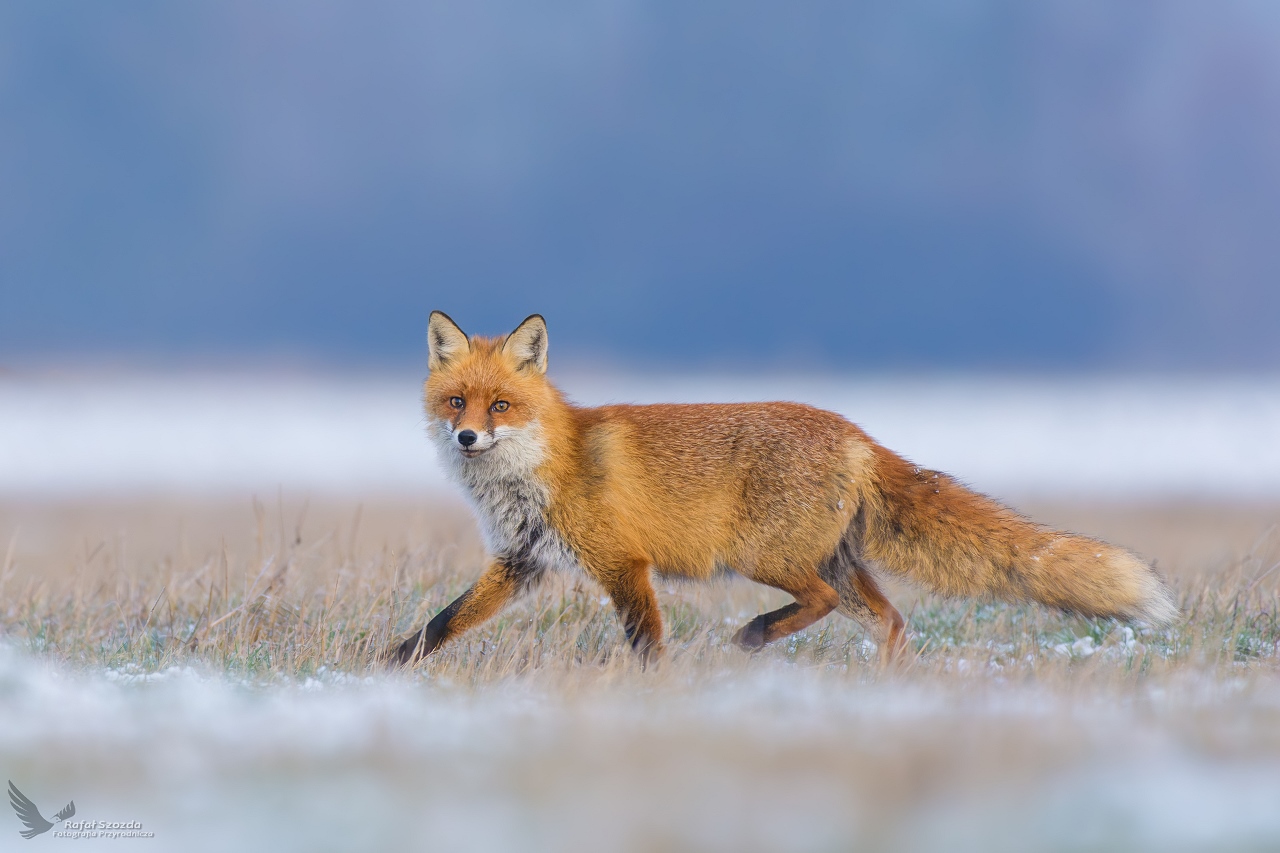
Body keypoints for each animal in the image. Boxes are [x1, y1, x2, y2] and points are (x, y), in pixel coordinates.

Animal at [392, 311, 1177, 667]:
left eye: (501, 406)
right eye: (456, 402)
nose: (467, 438)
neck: (542, 468)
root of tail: (855, 430)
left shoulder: (623, 564)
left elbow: (646, 641)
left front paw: (650, 692)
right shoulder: (520, 562)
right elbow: (443, 622)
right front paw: (390, 668)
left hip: (765, 557)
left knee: (824, 603)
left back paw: (754, 636)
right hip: (833, 562)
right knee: (892, 620)